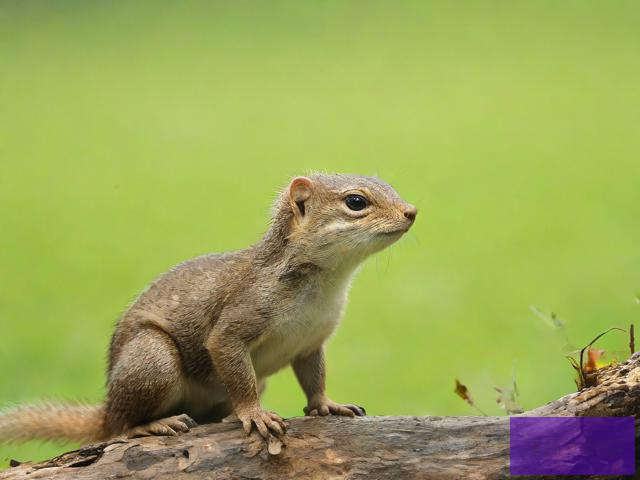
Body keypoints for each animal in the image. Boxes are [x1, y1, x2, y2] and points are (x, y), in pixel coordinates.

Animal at [0, 174, 416, 444]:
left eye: (388, 184)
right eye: (356, 202)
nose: (411, 211)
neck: (324, 287)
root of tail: (106, 408)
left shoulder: (311, 342)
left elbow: (315, 378)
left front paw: (327, 406)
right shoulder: (238, 319)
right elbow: (232, 362)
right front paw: (254, 414)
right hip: (152, 361)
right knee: (120, 426)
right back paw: (148, 425)